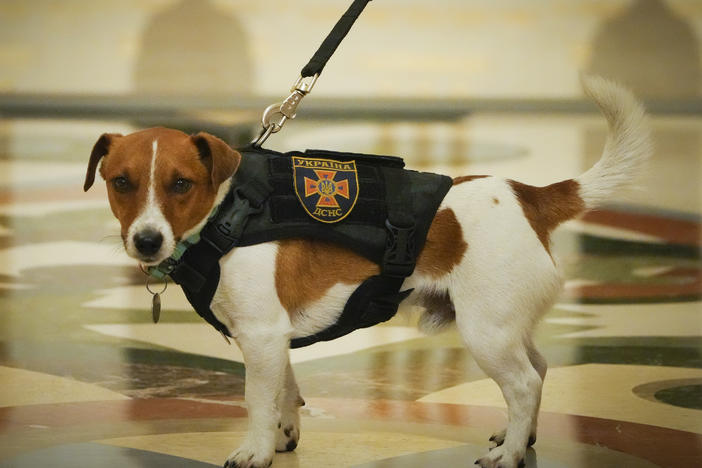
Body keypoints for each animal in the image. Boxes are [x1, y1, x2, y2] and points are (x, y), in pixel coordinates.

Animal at [84, 77, 656, 468]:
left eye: (181, 184)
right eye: (120, 182)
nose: (146, 240)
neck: (228, 212)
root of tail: (529, 195)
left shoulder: (261, 336)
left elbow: (256, 399)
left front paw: (255, 450)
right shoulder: (275, 339)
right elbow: (285, 391)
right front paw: (284, 435)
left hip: (486, 333)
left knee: (524, 384)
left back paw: (510, 453)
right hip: (508, 324)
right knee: (538, 369)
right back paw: (520, 436)